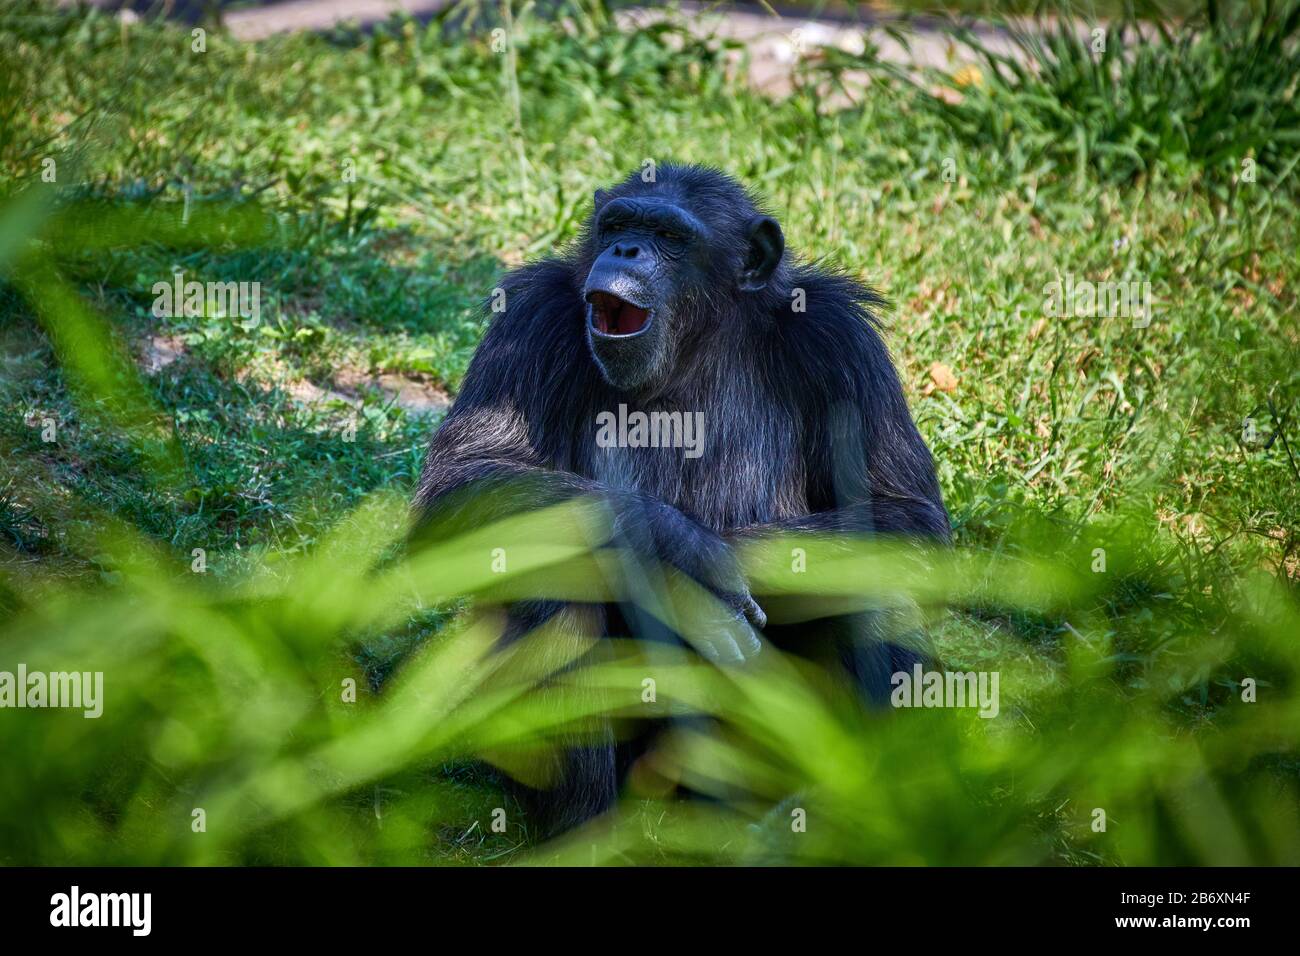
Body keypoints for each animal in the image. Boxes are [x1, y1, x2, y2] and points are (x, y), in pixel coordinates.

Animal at [413, 162, 946, 832]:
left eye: (668, 236)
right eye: (618, 224)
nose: (625, 250)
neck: (698, 342)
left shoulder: (842, 341)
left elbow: (903, 509)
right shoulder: (528, 320)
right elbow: (466, 477)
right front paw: (684, 549)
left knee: (872, 580)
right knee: (556, 574)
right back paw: (585, 832)